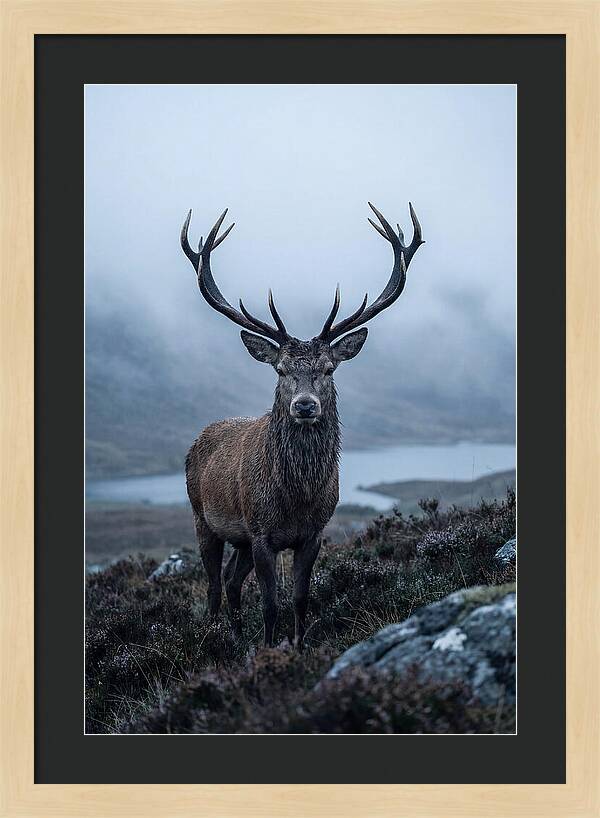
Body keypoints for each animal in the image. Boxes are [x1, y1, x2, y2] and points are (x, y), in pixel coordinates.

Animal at [181, 203, 424, 648]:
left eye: (328, 368)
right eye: (280, 370)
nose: (305, 405)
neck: (296, 498)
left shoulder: (312, 533)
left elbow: (299, 597)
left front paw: (297, 645)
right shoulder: (261, 532)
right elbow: (269, 603)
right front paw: (268, 648)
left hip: (238, 538)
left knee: (231, 581)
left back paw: (237, 637)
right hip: (202, 517)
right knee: (213, 584)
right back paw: (215, 636)